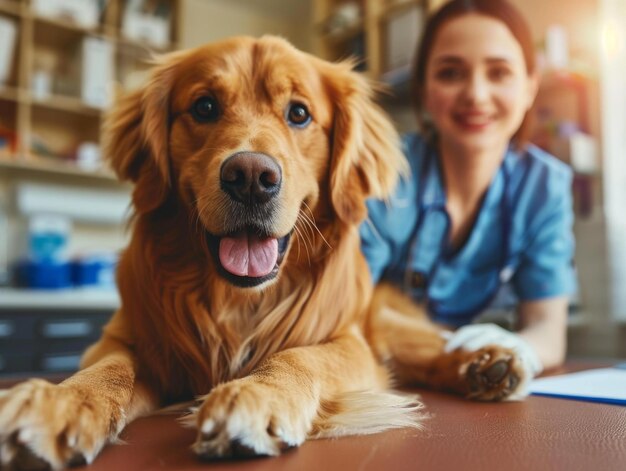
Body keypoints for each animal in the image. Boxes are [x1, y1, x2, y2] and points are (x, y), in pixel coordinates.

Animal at [0, 35, 524, 470]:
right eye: (204, 106)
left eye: (299, 114)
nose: (251, 177)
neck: (237, 301)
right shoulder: (126, 338)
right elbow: (106, 370)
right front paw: (59, 403)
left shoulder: (350, 343)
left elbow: (299, 357)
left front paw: (257, 395)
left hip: (385, 327)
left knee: (433, 346)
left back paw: (487, 362)